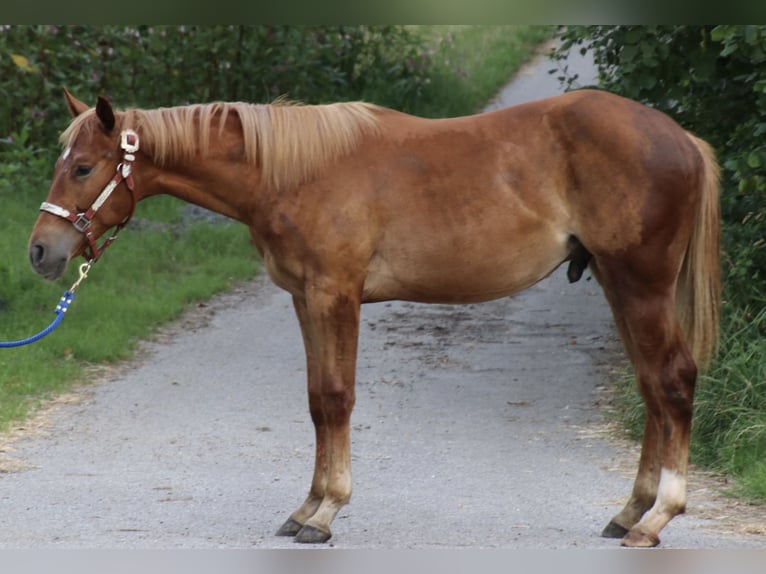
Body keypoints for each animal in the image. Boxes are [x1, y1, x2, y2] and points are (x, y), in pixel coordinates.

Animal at [27, 89, 720, 548]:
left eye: (82, 167)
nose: (40, 252)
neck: (293, 171)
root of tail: (681, 138)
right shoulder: (305, 299)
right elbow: (316, 401)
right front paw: (305, 507)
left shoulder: (335, 295)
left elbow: (337, 398)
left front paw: (326, 513)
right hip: (617, 284)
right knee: (652, 388)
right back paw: (630, 512)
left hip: (640, 285)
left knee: (672, 381)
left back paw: (658, 518)